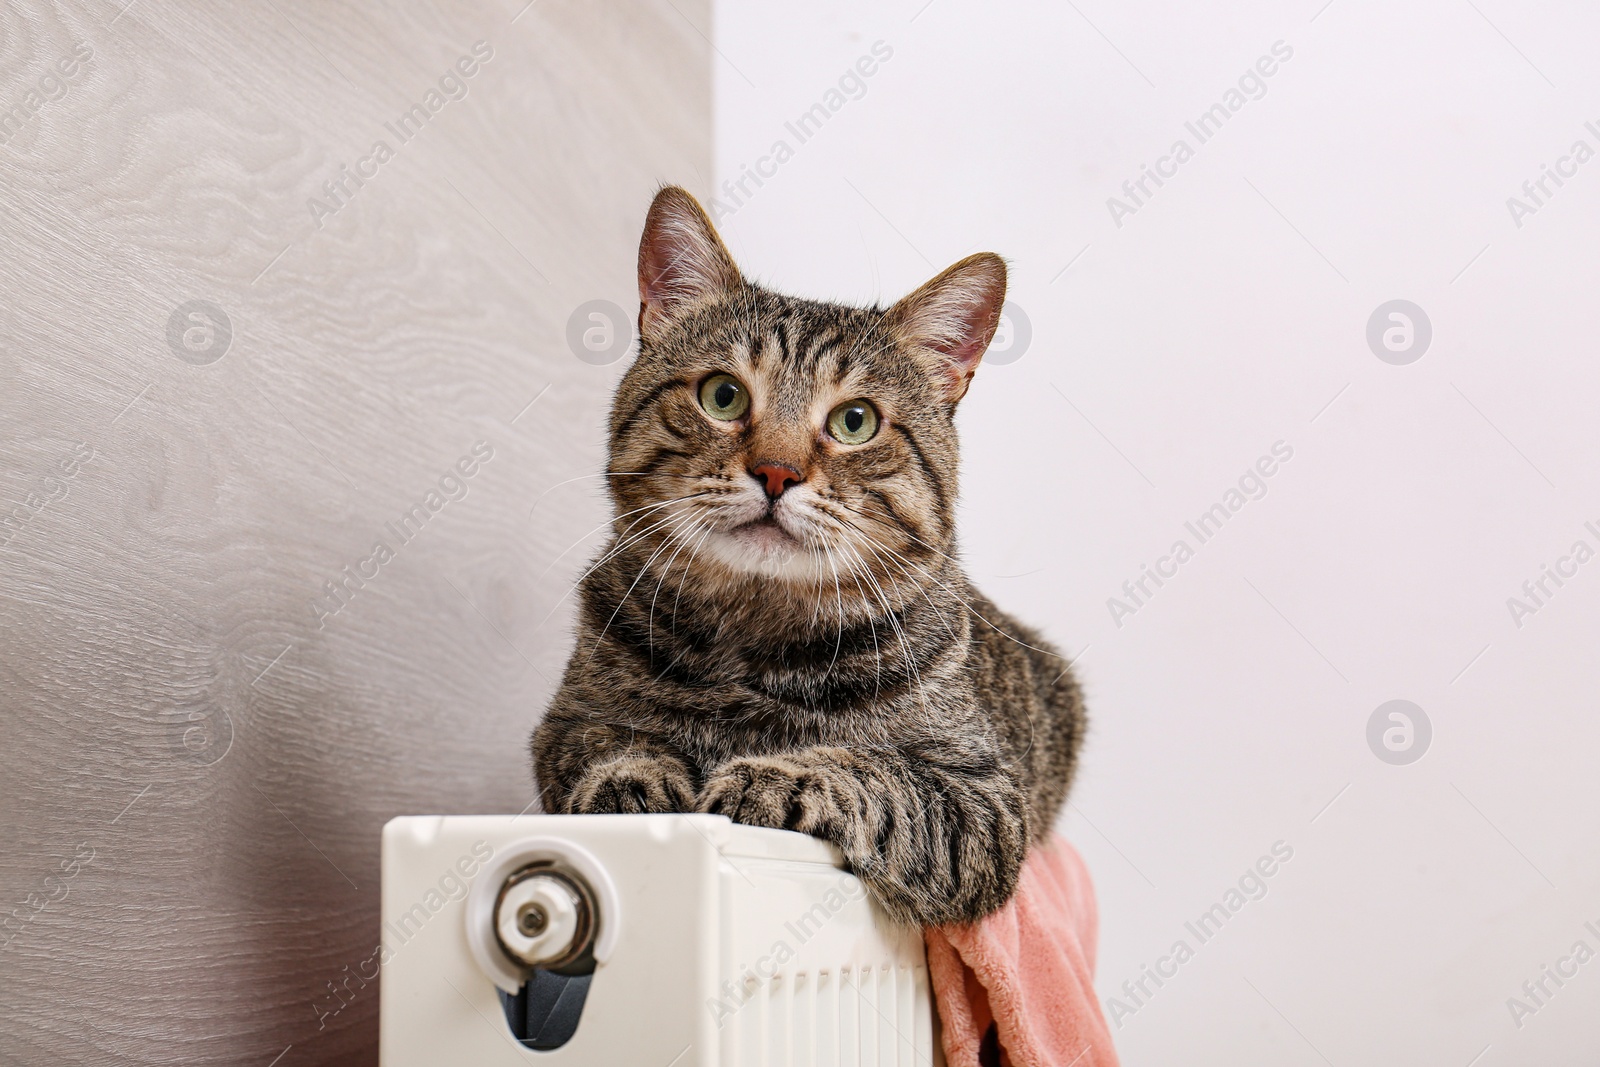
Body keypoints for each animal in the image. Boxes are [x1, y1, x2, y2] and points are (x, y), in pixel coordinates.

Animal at [537, 185, 1088, 927]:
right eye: (722, 395)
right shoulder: (564, 722)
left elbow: (878, 774)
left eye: (856, 421)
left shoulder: (985, 803)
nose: (776, 471)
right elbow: (605, 745)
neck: (752, 640)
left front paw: (774, 774)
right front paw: (636, 782)